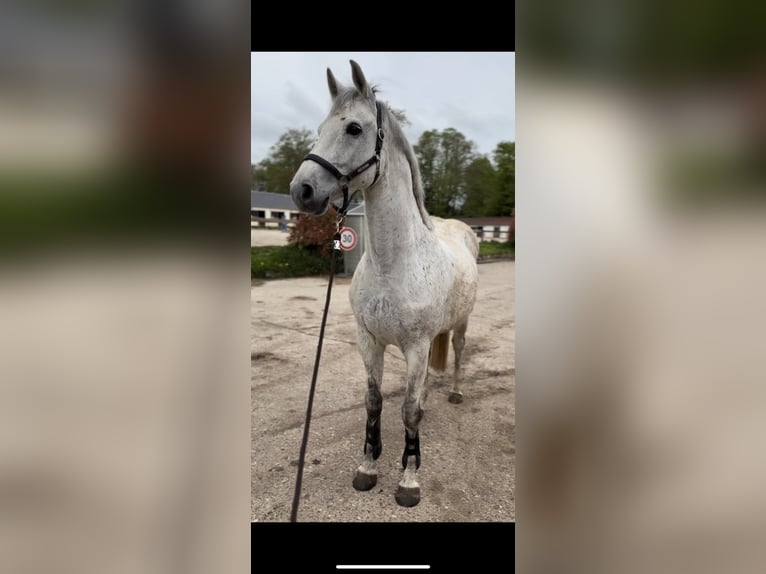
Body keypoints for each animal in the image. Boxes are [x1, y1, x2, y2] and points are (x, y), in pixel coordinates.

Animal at [289, 60, 479, 507]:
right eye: (320, 127)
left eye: (354, 128)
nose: (301, 190)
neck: (394, 263)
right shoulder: (369, 340)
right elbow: (373, 402)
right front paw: (367, 467)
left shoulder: (416, 345)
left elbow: (408, 411)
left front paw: (409, 479)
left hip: (460, 325)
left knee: (458, 354)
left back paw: (456, 392)